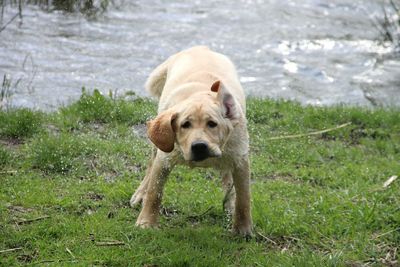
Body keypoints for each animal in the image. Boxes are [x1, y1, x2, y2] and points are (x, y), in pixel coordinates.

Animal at [130, 45, 252, 237]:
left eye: (212, 124)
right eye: (185, 125)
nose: (200, 146)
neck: (199, 95)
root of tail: (201, 47)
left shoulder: (240, 159)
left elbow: (243, 198)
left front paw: (243, 229)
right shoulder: (164, 159)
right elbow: (154, 193)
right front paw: (146, 223)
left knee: (227, 176)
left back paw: (229, 202)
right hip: (157, 142)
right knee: (150, 166)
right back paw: (140, 193)